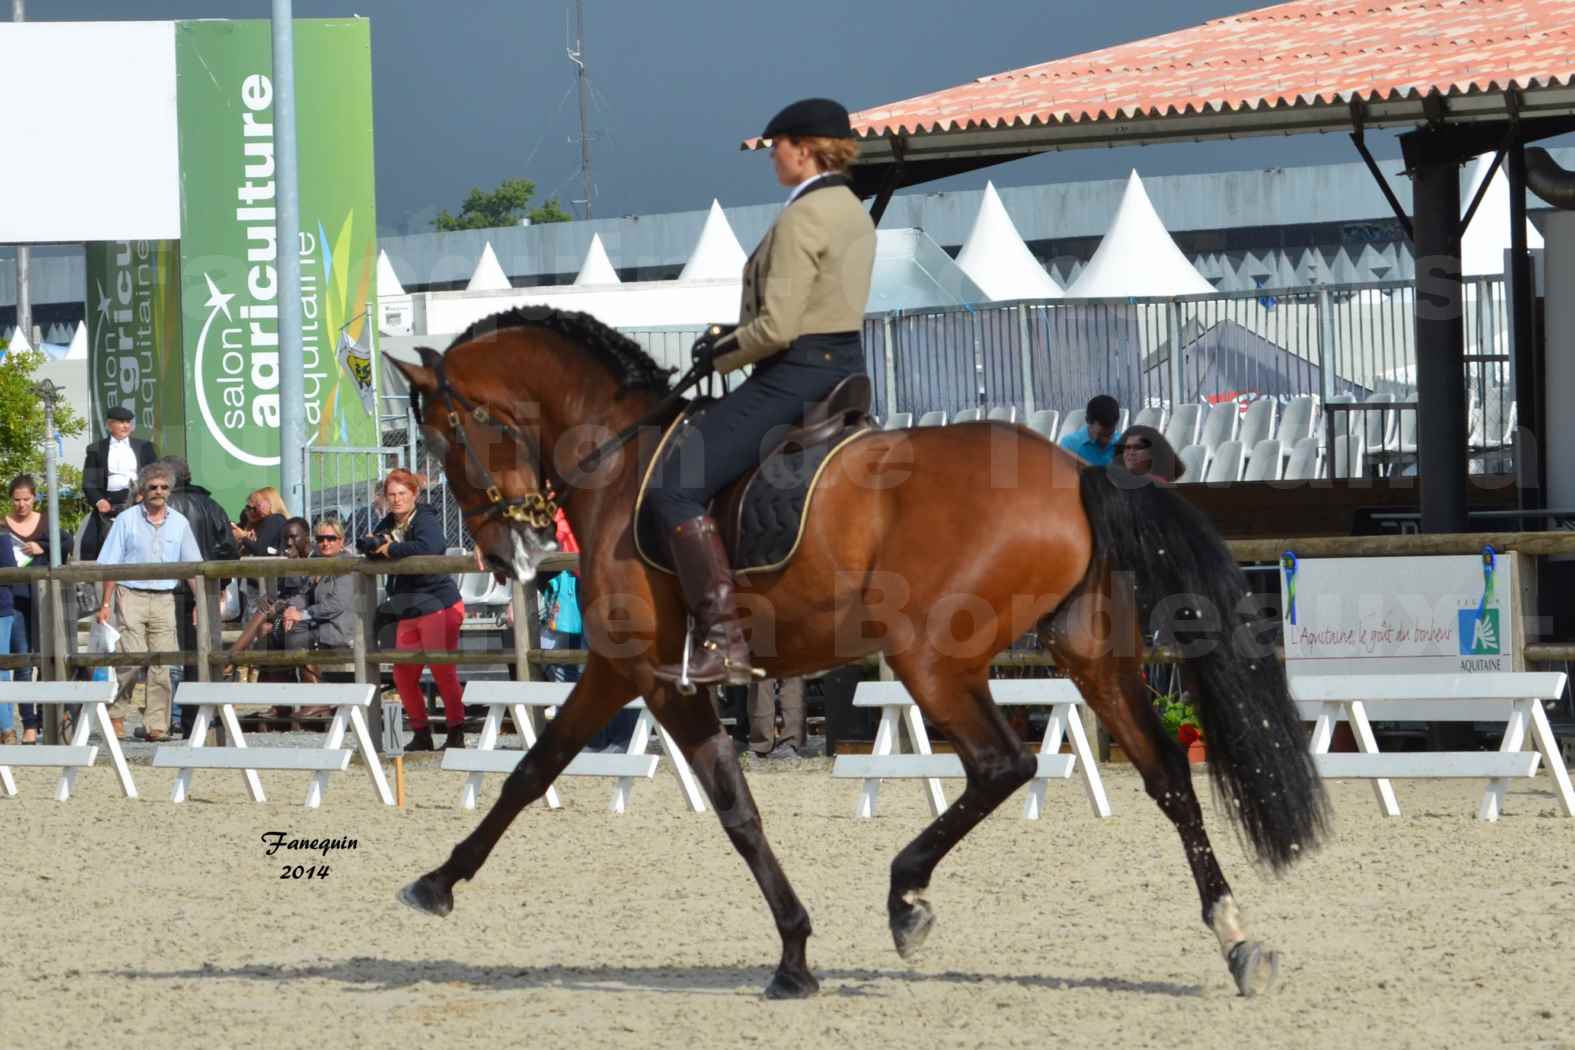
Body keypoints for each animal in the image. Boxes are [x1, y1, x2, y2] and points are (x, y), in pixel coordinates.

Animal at [387, 305, 1323, 1001]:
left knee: (1003, 764)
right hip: (1091, 654)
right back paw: (1236, 938)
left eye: (445, 437)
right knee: (1166, 773)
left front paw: (434, 883)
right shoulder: (639, 675)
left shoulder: (647, 673)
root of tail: (1076, 473)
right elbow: (588, 779)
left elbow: (641, 791)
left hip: (932, 659)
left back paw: (906, 897)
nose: (508, 553)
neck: (619, 461)